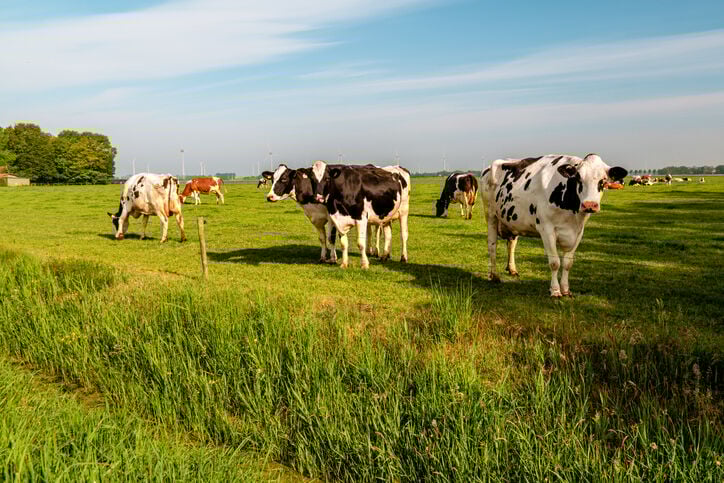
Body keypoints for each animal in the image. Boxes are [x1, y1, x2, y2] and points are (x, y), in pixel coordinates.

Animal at [482, 154, 627, 297]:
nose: (590, 205)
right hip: (491, 215)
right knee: (492, 246)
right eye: (579, 178)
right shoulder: (546, 229)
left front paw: (566, 290)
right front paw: (555, 290)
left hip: (513, 220)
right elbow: (554, 262)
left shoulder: (578, 232)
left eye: (603, 180)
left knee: (511, 244)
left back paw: (512, 269)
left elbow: (568, 263)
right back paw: (494, 276)